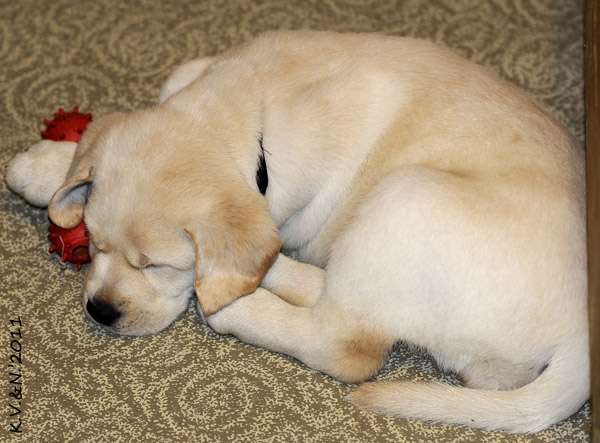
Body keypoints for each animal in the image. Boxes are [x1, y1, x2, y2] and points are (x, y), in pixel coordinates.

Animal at [45, 32, 584, 434]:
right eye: (95, 244)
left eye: (155, 265)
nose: (100, 311)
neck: (253, 112)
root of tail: (580, 337)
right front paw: (47, 168)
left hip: (407, 196)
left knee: (345, 343)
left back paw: (243, 307)